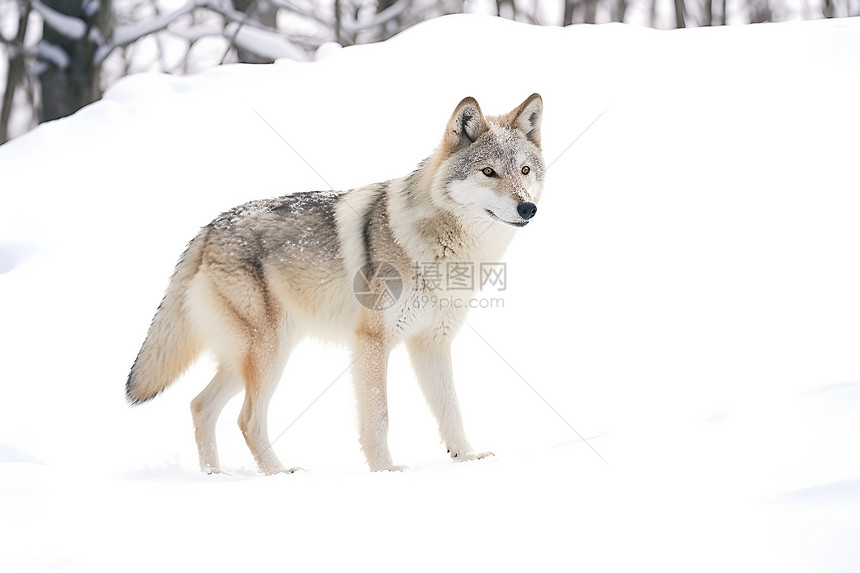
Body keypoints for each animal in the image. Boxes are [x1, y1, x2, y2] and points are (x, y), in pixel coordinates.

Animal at [126, 91, 544, 472]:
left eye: (525, 171)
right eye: (488, 172)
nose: (528, 208)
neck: (446, 251)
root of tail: (210, 227)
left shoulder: (432, 344)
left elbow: (451, 409)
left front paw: (467, 458)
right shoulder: (373, 343)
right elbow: (379, 416)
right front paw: (386, 470)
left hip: (252, 356)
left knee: (200, 406)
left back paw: (216, 475)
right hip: (269, 353)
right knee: (246, 419)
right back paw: (279, 474)